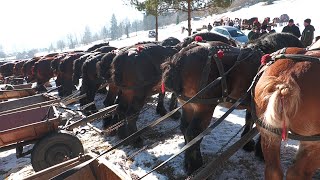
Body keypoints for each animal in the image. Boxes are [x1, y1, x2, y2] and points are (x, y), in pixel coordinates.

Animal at [161, 32, 304, 174]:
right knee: (193, 132)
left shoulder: (252, 104)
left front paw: (248, 144)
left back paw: (187, 161)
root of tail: (178, 60)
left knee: (184, 128)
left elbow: (249, 120)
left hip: (188, 105)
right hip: (204, 107)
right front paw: (261, 152)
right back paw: (195, 165)